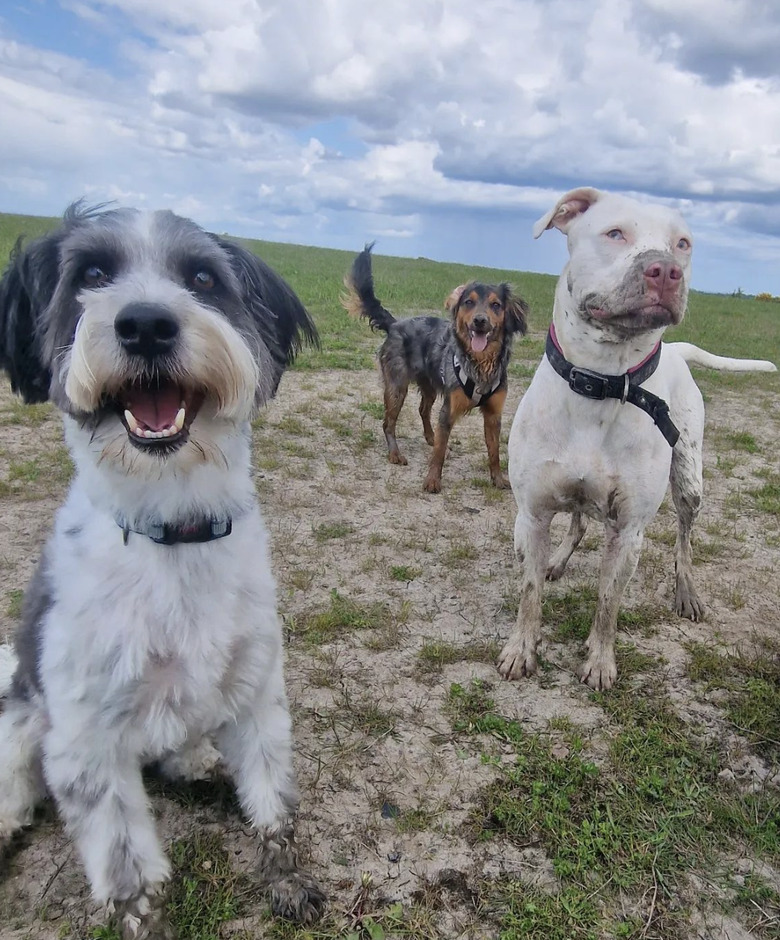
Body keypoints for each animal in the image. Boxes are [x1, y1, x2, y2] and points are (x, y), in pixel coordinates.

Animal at [0, 206, 324, 940]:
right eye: (92, 274)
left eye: (201, 278)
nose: (146, 324)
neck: (173, 533)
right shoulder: (87, 746)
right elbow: (128, 869)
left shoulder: (257, 695)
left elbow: (274, 803)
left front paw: (285, 877)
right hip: (21, 714)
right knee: (16, 778)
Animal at [344, 244, 528, 492]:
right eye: (468, 302)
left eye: (496, 305)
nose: (480, 321)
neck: (481, 364)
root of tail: (395, 324)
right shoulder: (448, 410)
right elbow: (439, 453)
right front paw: (432, 480)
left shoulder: (493, 414)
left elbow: (494, 451)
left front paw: (498, 479)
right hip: (396, 387)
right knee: (388, 423)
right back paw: (395, 453)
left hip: (429, 386)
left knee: (423, 410)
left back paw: (431, 437)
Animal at [500, 187, 772, 692]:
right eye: (615, 233)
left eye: (683, 243)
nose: (667, 270)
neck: (603, 381)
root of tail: (678, 351)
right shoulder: (532, 515)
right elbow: (530, 592)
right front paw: (520, 649)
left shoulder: (629, 531)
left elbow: (608, 603)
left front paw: (600, 660)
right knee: (578, 523)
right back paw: (558, 560)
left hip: (689, 482)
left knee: (684, 540)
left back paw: (686, 593)